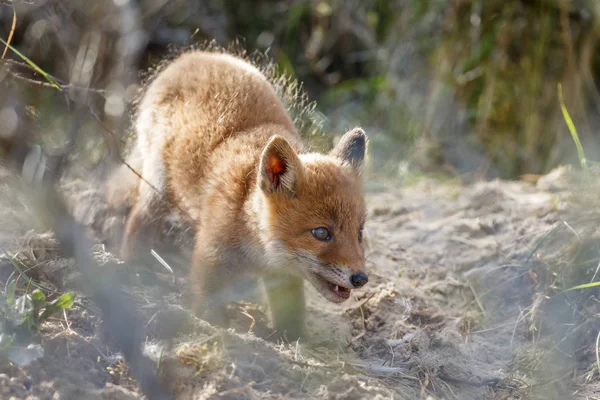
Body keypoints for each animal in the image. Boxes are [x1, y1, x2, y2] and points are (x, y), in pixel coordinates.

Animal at [109, 50, 370, 340]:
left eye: (359, 232)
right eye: (322, 233)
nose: (361, 278)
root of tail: (194, 55)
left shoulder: (283, 277)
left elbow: (291, 320)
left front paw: (294, 341)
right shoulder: (210, 257)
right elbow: (207, 308)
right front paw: (216, 330)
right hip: (158, 188)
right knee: (137, 222)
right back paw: (132, 267)